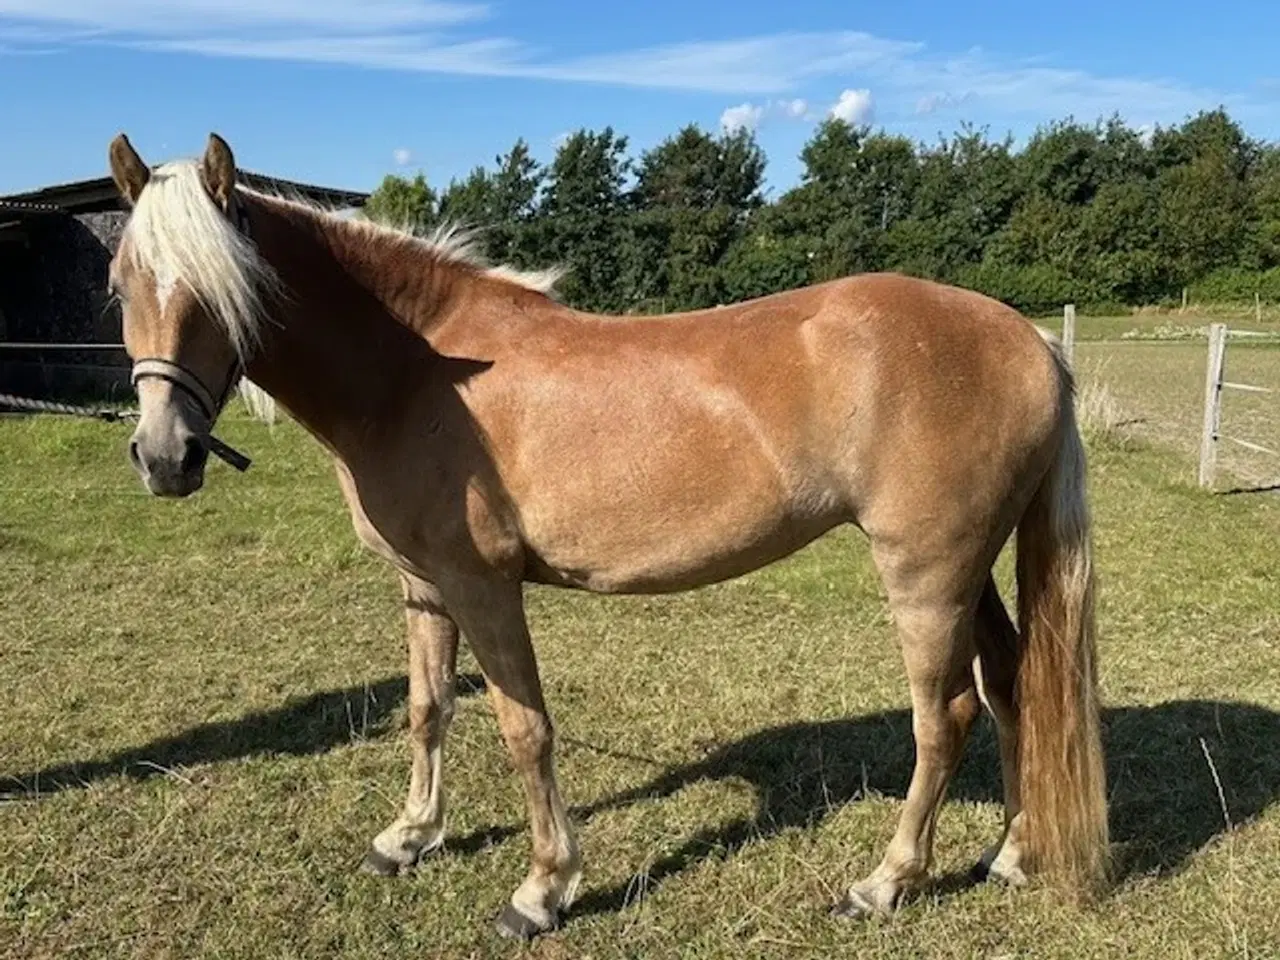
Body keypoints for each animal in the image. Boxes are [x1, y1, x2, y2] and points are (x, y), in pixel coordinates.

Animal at [107, 131, 1111, 936]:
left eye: (222, 290)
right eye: (120, 284)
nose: (164, 456)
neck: (416, 372)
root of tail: (1029, 341)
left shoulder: (482, 586)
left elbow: (523, 729)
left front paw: (541, 890)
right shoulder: (423, 585)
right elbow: (429, 710)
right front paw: (409, 838)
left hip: (926, 575)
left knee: (946, 718)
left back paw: (883, 884)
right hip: (972, 570)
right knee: (1013, 685)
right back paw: (1012, 855)